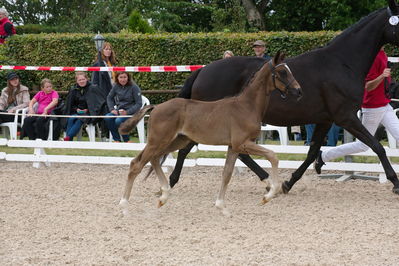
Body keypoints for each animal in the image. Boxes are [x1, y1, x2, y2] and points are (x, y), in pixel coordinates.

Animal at [120, 52, 302, 216]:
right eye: (282, 72)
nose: (298, 91)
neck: (246, 106)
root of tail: (156, 107)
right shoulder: (242, 143)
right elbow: (272, 156)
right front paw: (268, 196)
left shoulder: (233, 147)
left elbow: (227, 174)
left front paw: (222, 207)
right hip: (158, 141)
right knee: (136, 164)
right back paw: (124, 207)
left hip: (176, 141)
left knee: (154, 159)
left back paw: (163, 196)